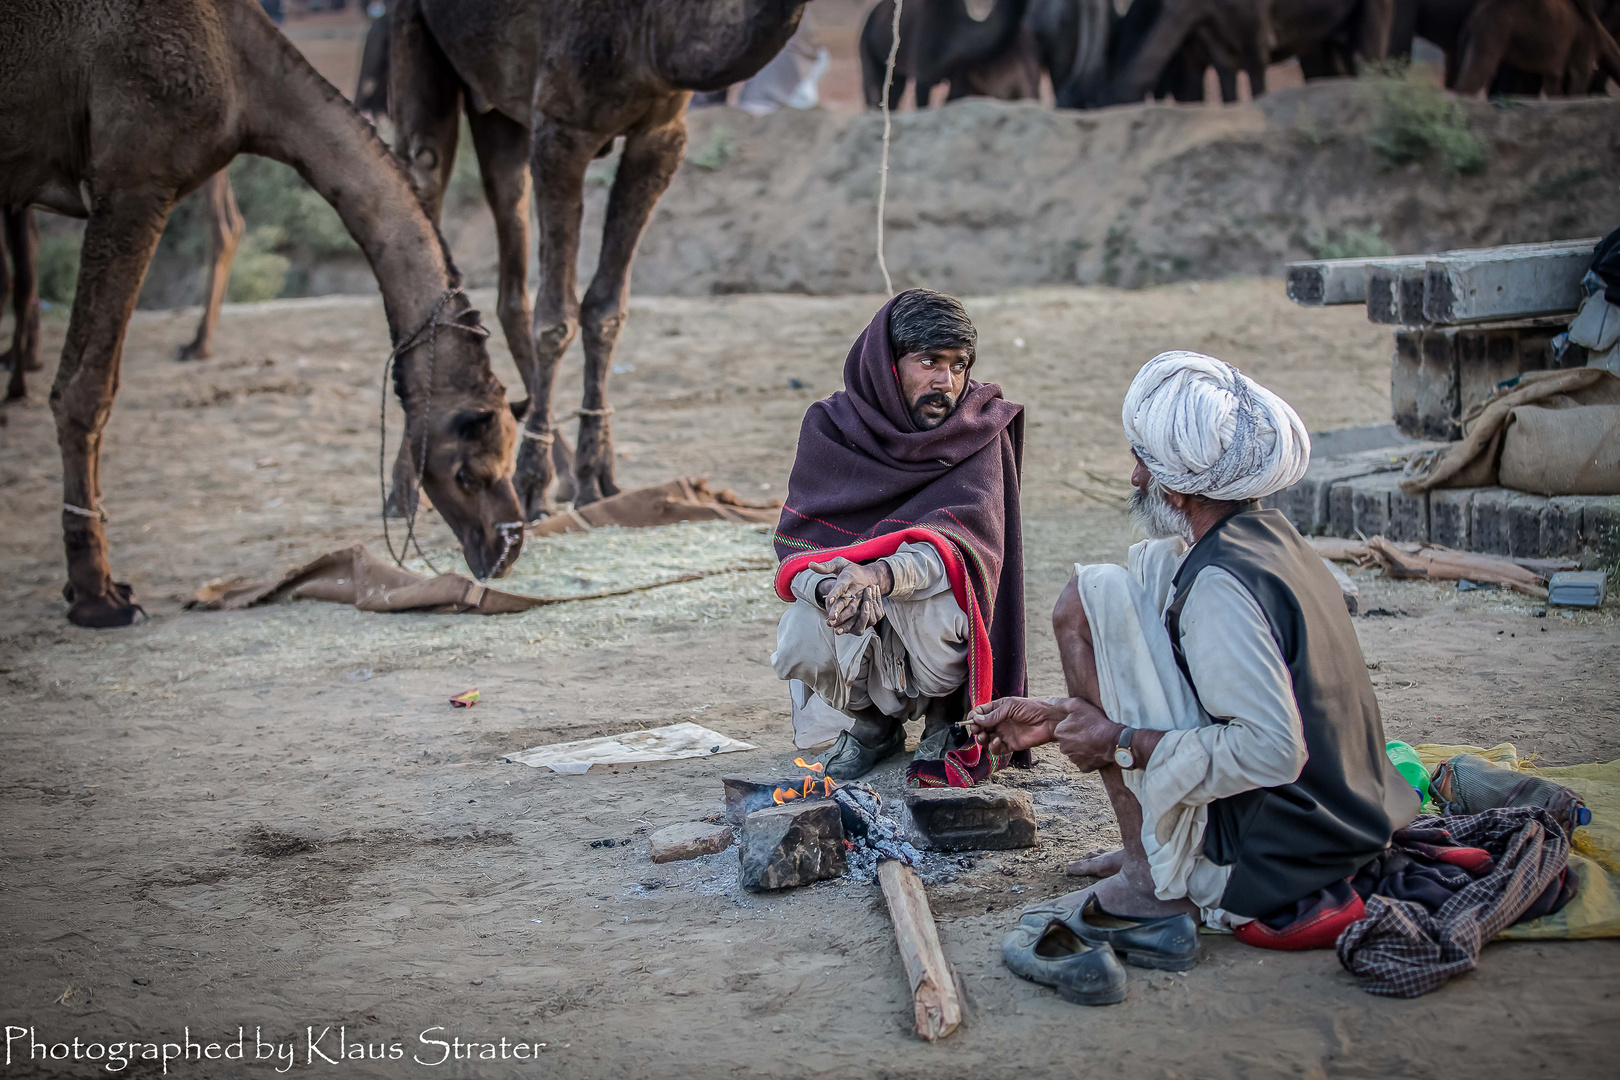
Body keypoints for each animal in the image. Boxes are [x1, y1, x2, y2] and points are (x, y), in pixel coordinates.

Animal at [0, 0, 524, 628]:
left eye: (512, 455)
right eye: (469, 469)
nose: (507, 546)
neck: (243, 73)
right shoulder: (132, 178)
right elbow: (86, 387)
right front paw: (97, 597)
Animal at [387, 0, 816, 524]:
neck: (649, 29)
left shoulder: (660, 135)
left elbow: (605, 310)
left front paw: (595, 479)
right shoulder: (561, 129)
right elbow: (556, 321)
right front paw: (532, 484)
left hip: (502, 116)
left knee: (510, 241)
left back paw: (564, 471)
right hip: (414, 36)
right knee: (421, 170)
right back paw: (407, 492)